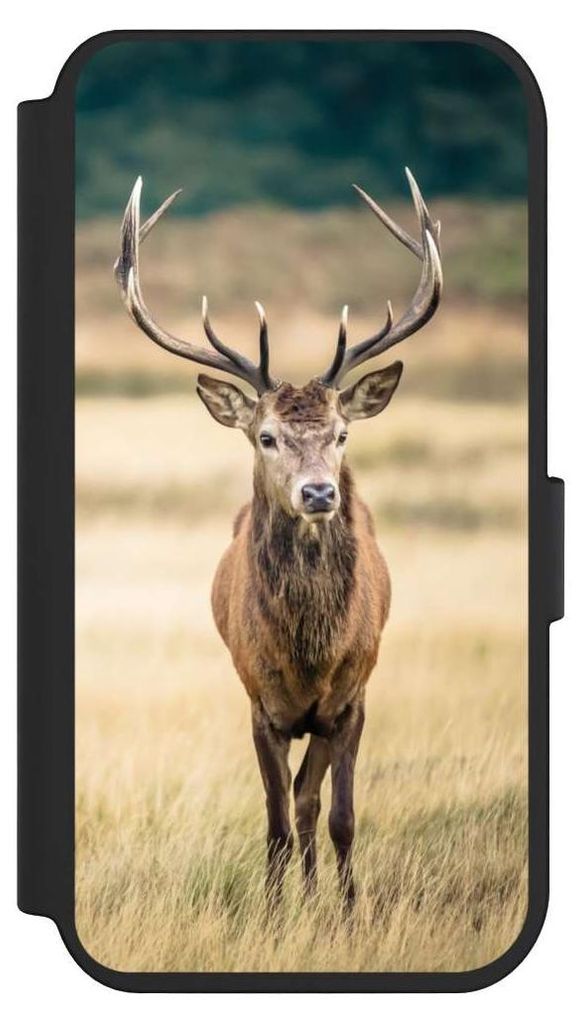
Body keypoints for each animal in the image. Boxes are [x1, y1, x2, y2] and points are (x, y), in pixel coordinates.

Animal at [114, 169, 442, 909]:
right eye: (265, 437)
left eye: (342, 434)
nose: (319, 492)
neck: (308, 655)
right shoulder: (259, 702)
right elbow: (273, 821)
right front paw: (270, 912)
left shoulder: (351, 698)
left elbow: (338, 814)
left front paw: (347, 912)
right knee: (292, 804)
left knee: (310, 801)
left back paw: (319, 894)